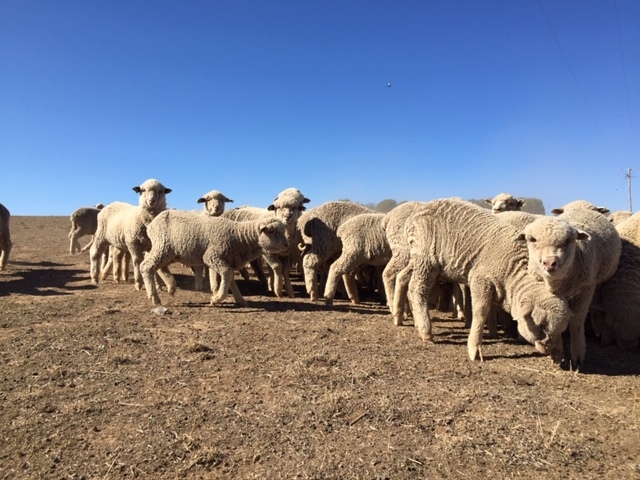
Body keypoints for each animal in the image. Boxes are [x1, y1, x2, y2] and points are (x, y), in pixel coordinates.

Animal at [140, 211, 289, 307]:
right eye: (272, 232)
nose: (287, 245)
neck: (238, 237)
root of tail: (151, 224)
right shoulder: (212, 256)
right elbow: (227, 274)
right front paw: (217, 299)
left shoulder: (227, 260)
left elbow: (230, 279)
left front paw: (240, 300)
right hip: (163, 246)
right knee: (146, 266)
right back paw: (155, 297)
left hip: (169, 251)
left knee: (155, 264)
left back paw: (171, 286)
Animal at [400, 198, 572, 363]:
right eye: (540, 325)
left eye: (562, 329)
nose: (548, 348)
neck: (514, 270)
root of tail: (416, 212)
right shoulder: (480, 278)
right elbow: (481, 311)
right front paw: (475, 348)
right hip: (426, 257)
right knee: (417, 288)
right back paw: (425, 331)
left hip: (418, 258)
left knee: (403, 277)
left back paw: (405, 318)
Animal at [518, 208, 621, 369]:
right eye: (532, 239)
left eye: (568, 241)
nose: (550, 263)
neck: (556, 284)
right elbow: (558, 320)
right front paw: (556, 353)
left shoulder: (585, 288)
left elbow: (576, 322)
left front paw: (577, 356)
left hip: (601, 278)